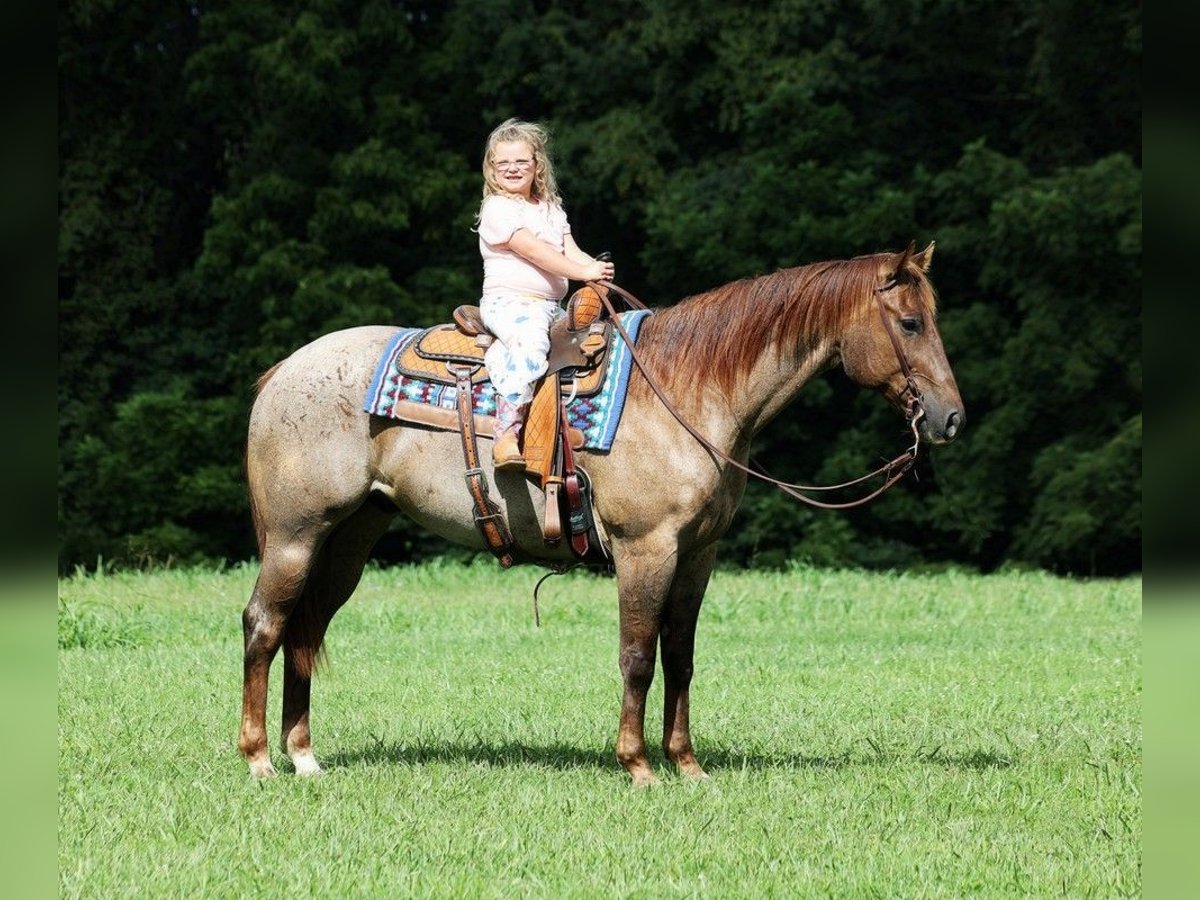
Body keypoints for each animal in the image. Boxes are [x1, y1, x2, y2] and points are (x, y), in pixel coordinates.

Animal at [241, 243, 964, 787]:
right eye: (909, 324)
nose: (950, 417)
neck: (689, 389)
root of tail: (282, 372)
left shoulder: (697, 554)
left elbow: (681, 656)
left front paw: (687, 765)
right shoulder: (647, 548)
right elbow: (638, 655)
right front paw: (638, 766)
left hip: (349, 540)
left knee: (306, 629)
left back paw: (304, 757)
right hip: (295, 537)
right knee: (265, 625)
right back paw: (258, 759)